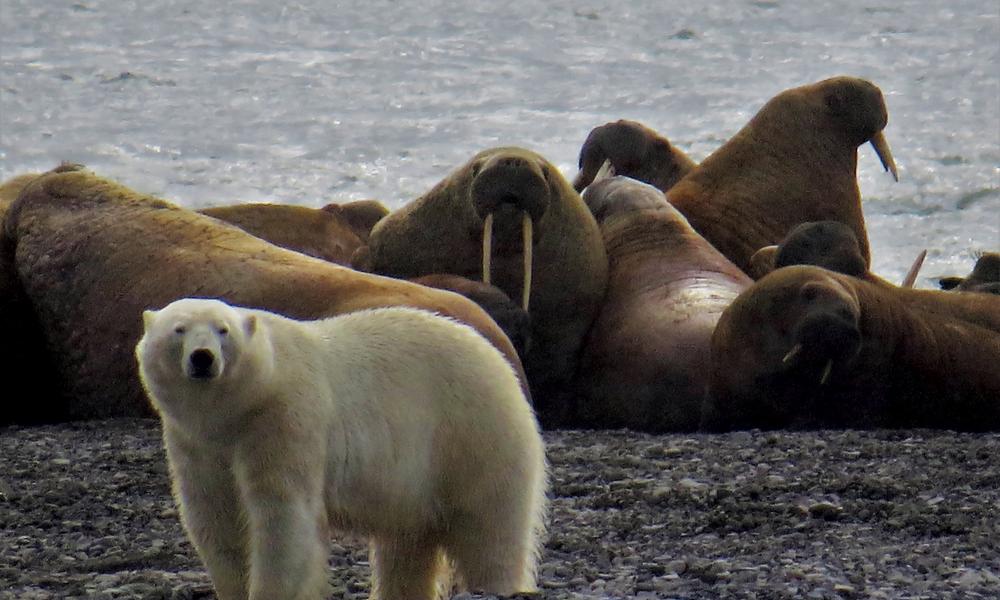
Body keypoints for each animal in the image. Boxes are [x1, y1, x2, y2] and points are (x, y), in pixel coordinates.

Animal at [135, 298, 548, 600]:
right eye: (178, 329)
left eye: (224, 330)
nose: (203, 357)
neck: (236, 411)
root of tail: (499, 357)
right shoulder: (196, 442)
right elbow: (214, 514)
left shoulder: (284, 420)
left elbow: (282, 515)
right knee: (407, 544)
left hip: (471, 433)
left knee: (490, 526)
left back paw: (496, 584)